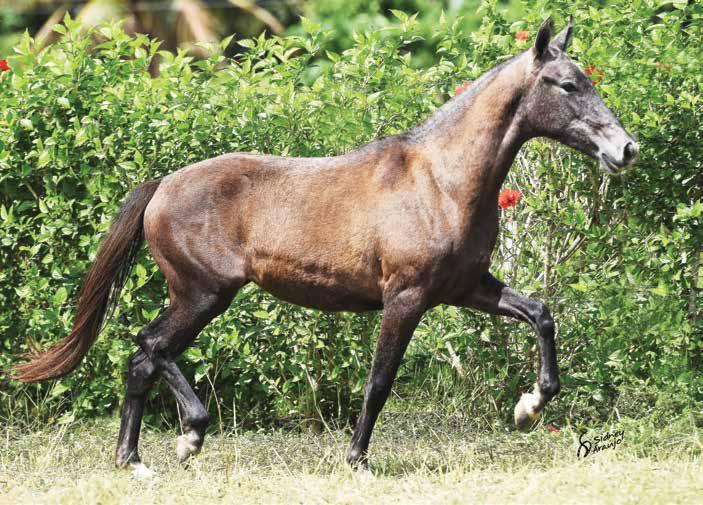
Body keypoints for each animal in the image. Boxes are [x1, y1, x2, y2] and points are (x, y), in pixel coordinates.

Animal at [12, 17, 640, 474]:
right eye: (568, 85)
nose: (626, 149)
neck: (439, 181)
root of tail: (162, 185)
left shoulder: (465, 288)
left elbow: (540, 314)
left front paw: (528, 408)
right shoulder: (406, 297)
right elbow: (380, 381)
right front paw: (357, 460)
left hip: (197, 296)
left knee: (142, 360)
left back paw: (134, 461)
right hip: (204, 293)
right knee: (148, 346)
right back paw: (189, 434)